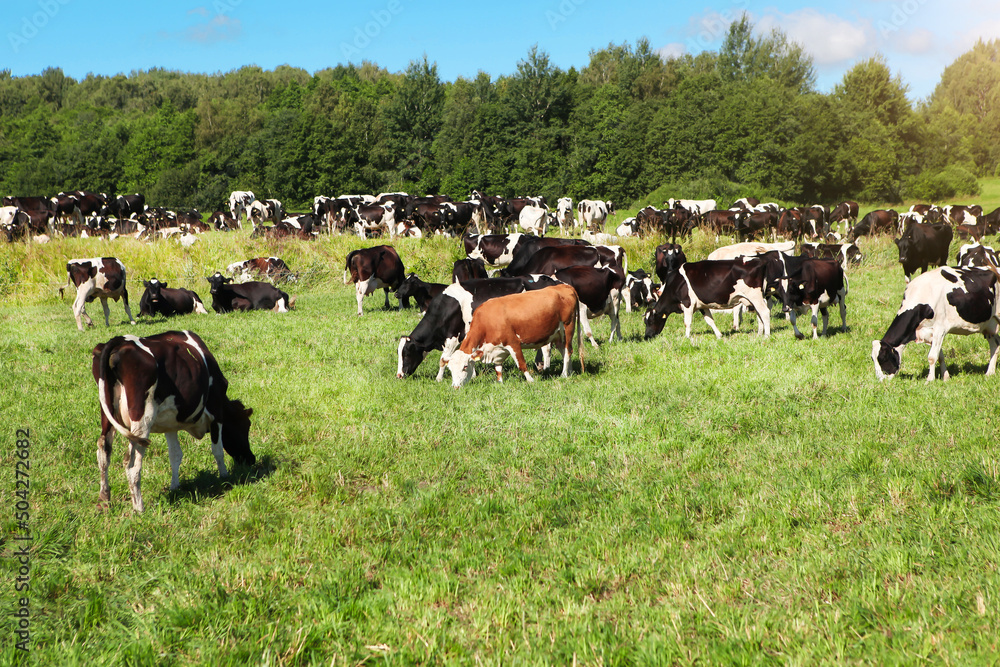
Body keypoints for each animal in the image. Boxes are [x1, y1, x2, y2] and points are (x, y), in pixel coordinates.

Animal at [91, 330, 256, 512]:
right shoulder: (216, 413)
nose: (251, 459)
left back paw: (104, 498)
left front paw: (175, 487)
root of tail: (119, 341)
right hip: (142, 418)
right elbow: (217, 450)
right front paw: (225, 477)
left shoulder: (170, 425)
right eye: (246, 426)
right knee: (131, 463)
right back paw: (139, 507)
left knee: (103, 451)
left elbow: (175, 455)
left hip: (106, 412)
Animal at [447, 284, 581, 387]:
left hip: (568, 328)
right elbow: (498, 369)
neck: (487, 321)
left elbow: (521, 364)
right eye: (450, 369)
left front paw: (531, 380)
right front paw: (500, 383)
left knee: (568, 351)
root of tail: (564, 286)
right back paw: (569, 371)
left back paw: (564, 374)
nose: (455, 387)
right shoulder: (497, 349)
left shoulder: (513, 343)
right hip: (558, 335)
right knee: (564, 352)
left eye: (465, 367)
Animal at [872, 265, 1000, 381]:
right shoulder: (929, 332)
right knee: (995, 344)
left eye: (883, 358)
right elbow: (939, 356)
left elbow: (932, 357)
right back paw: (990, 372)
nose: (881, 381)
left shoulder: (940, 329)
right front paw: (946, 377)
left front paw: (930, 380)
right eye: (873, 359)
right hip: (988, 325)